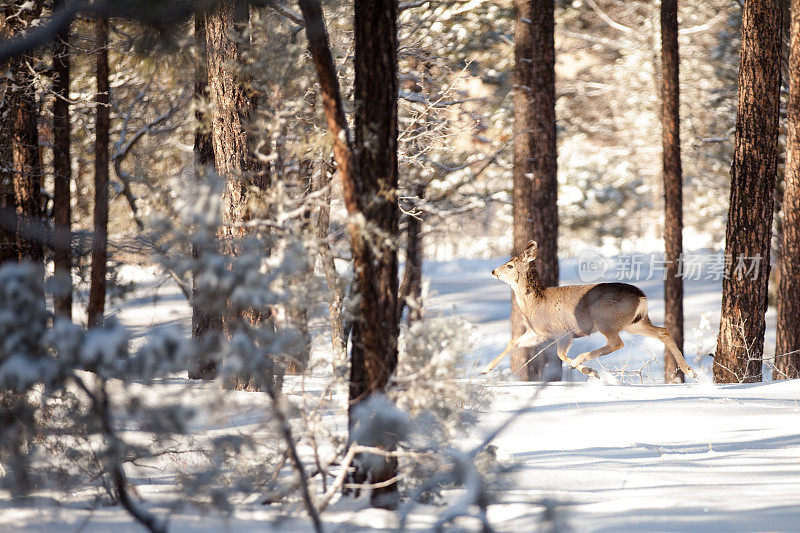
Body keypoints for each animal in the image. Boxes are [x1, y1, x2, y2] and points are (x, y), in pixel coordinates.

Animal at [478, 241, 696, 378]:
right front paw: (484, 370)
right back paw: (690, 371)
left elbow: (561, 355)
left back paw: (580, 360)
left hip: (604, 319)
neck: (534, 303)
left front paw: (589, 371)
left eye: (509, 265)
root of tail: (641, 296)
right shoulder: (538, 333)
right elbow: (513, 342)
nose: (493, 270)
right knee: (663, 331)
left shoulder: (563, 332)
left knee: (617, 343)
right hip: (635, 322)